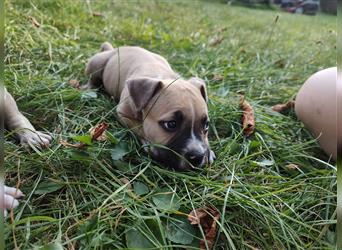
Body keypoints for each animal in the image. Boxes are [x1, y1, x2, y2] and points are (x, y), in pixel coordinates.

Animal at [83, 43, 215, 171]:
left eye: (206, 125)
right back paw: (89, 88)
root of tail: (114, 49)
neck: (165, 77)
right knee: (93, 77)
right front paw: (148, 143)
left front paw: (209, 152)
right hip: (96, 63)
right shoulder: (123, 113)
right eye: (171, 124)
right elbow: (139, 128)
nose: (198, 156)